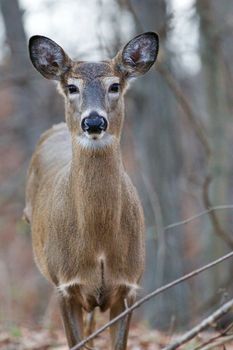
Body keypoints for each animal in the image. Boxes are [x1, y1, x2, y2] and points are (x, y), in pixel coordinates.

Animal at [24, 31, 159, 348]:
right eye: (72, 87)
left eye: (115, 85)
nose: (94, 121)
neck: (98, 245)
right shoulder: (64, 284)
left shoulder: (128, 284)